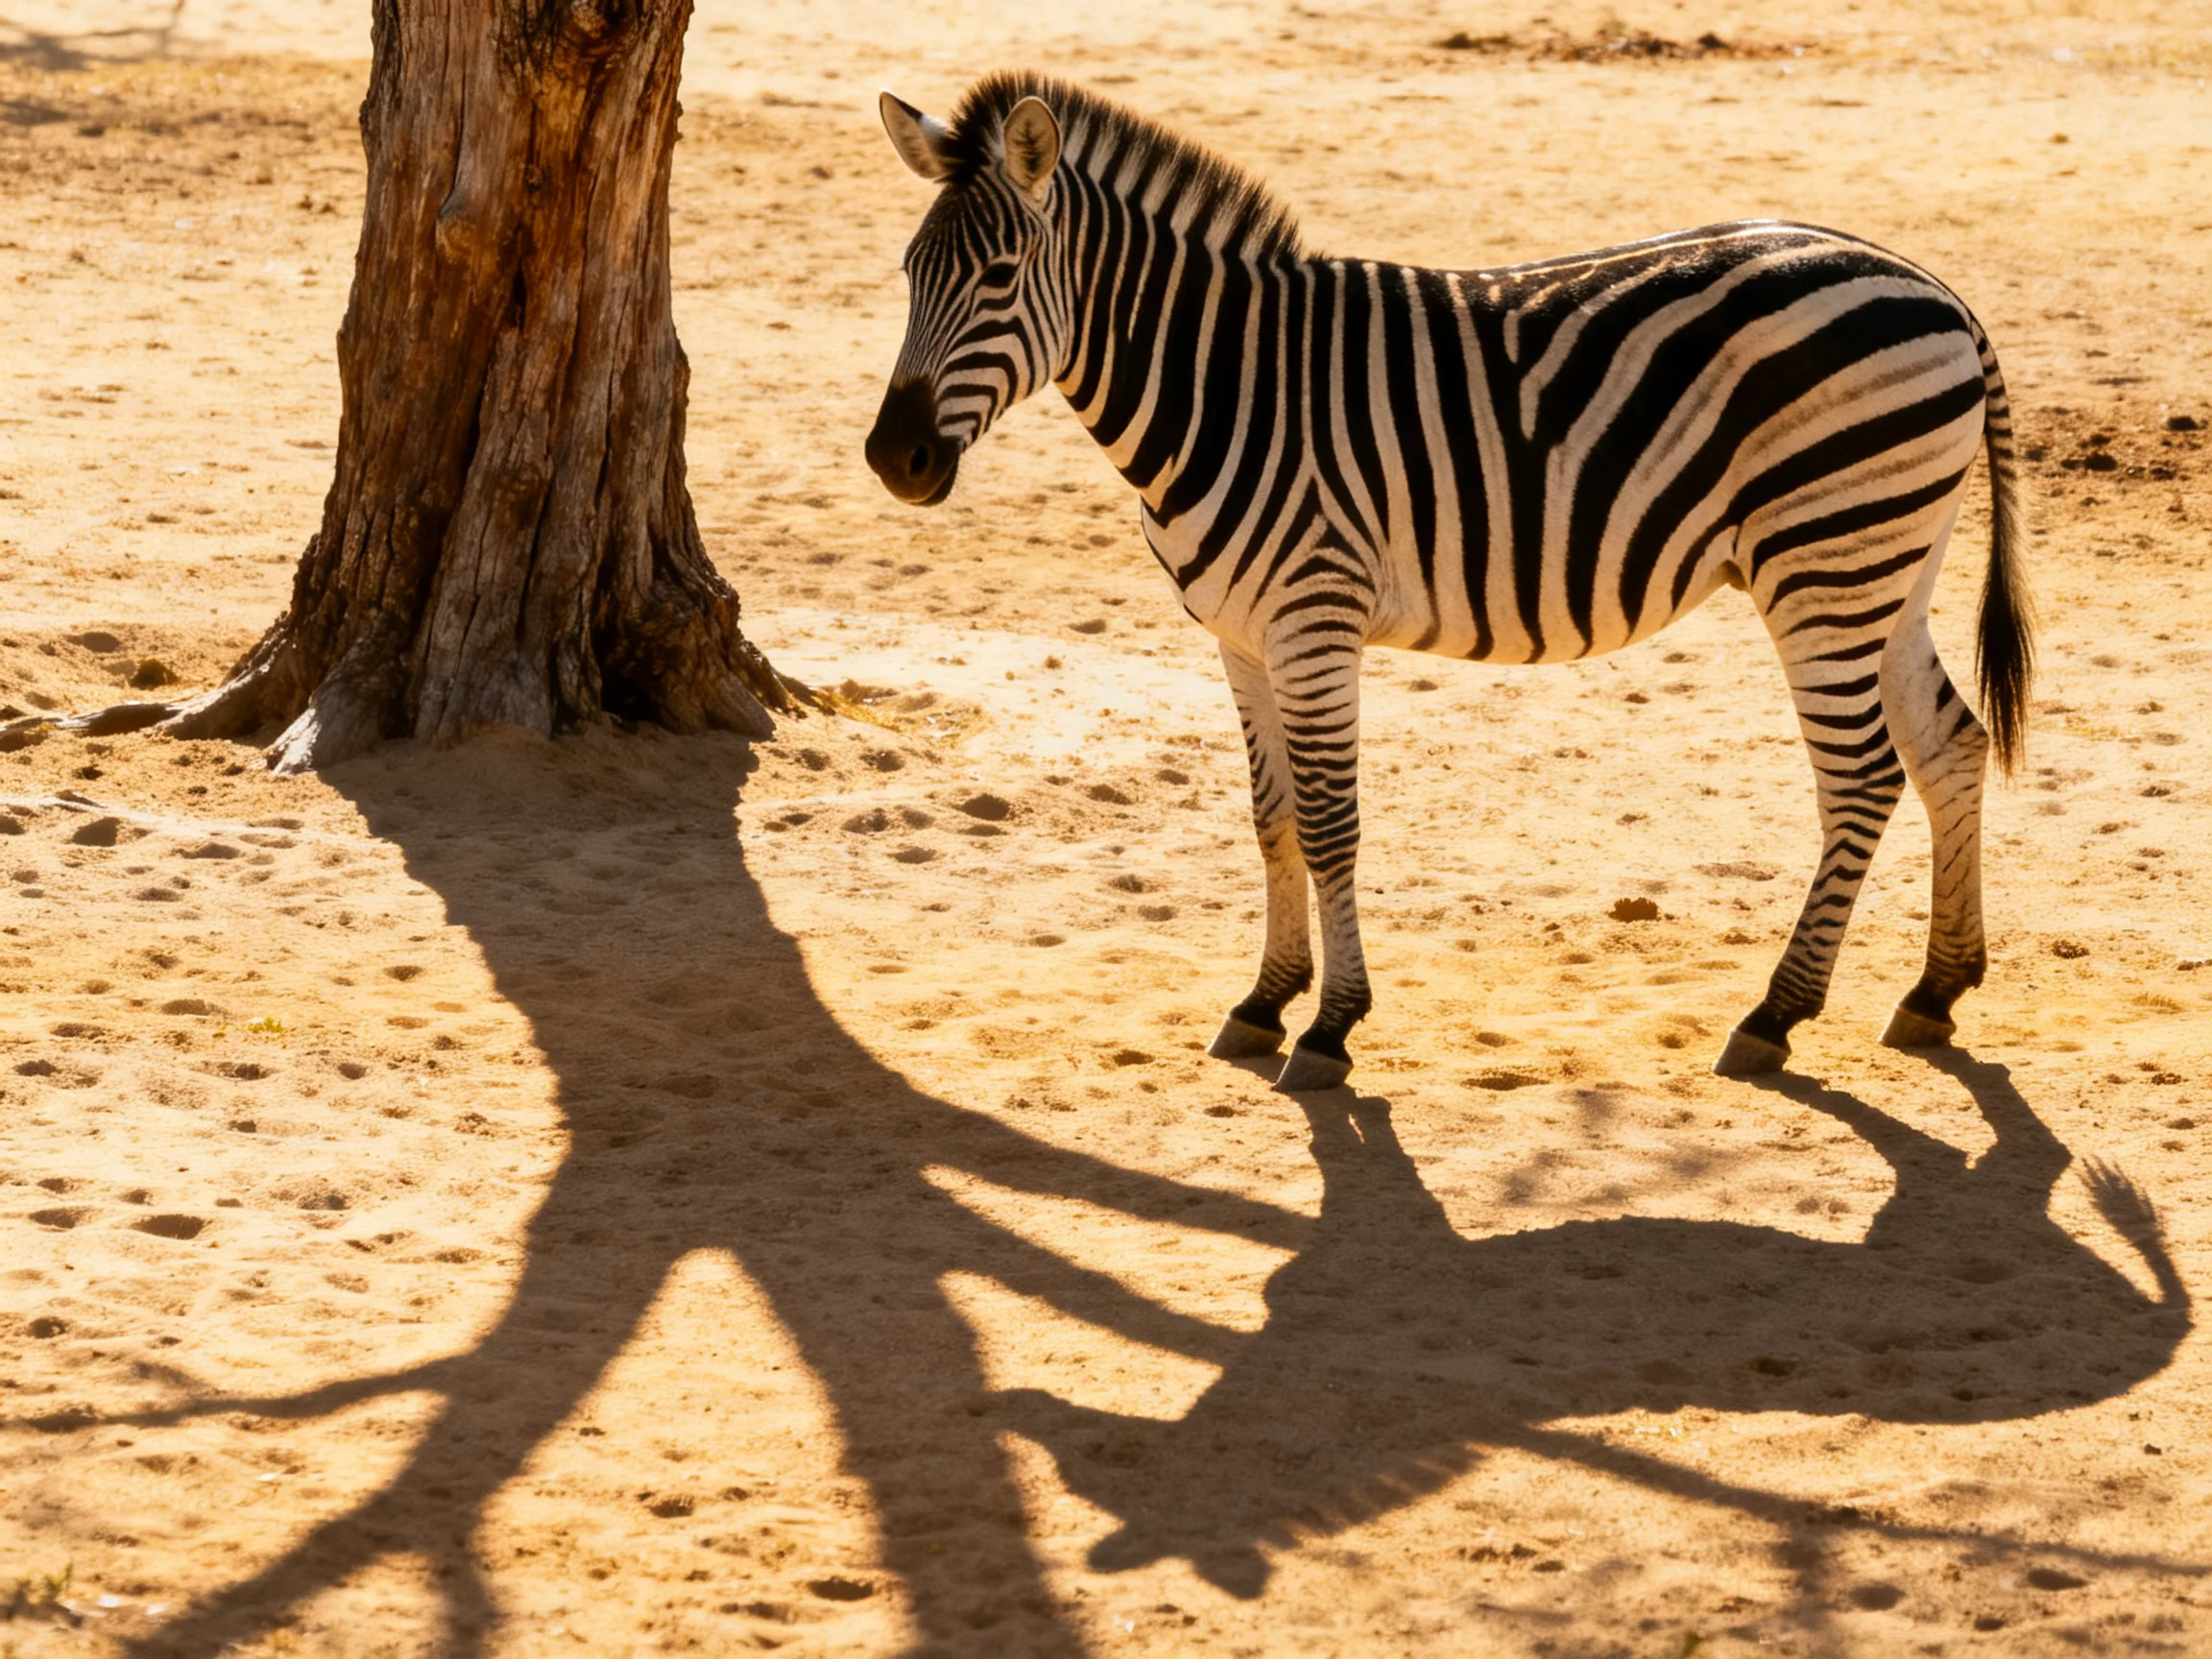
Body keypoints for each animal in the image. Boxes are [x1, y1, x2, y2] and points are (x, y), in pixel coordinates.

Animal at [864, 72, 2032, 1093]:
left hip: (1822, 563)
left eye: (1000, 278)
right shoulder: (1240, 635)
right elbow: (1270, 819)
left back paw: (1775, 1016)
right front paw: (1264, 1001)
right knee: (1950, 742)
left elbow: (1329, 821)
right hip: (1885, 562)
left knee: (1863, 777)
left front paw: (1329, 1028)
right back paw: (1937, 990)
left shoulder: (1314, 617)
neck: (1226, 386)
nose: (894, 461)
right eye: (910, 273)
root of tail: (1933, 287)